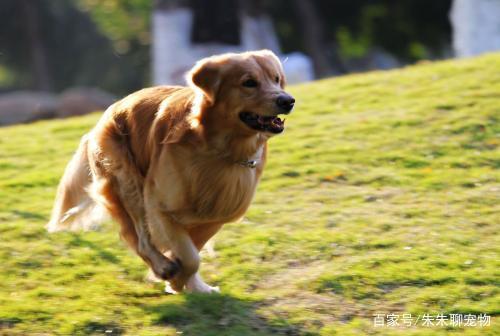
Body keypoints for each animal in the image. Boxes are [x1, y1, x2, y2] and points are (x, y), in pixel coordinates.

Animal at [46, 48, 292, 292]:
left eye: (276, 79)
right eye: (249, 82)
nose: (288, 100)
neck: (219, 149)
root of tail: (104, 115)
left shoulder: (216, 214)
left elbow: (193, 249)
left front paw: (186, 283)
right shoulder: (159, 206)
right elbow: (190, 257)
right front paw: (174, 278)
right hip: (129, 183)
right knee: (140, 239)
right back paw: (163, 267)